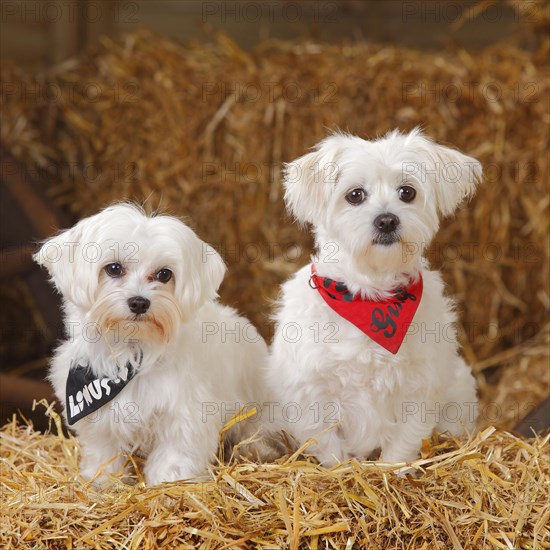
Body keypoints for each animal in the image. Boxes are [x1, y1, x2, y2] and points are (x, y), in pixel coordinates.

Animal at [33, 205, 270, 486]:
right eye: (114, 268)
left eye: (164, 274)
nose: (139, 302)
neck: (133, 353)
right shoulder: (99, 421)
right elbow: (104, 454)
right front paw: (101, 481)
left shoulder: (184, 418)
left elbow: (174, 458)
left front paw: (169, 484)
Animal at [270, 130, 486, 470]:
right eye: (355, 195)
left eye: (407, 192)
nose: (387, 220)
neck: (371, 297)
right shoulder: (310, 394)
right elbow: (330, 449)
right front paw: (344, 472)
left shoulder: (420, 390)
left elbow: (402, 444)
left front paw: (391, 471)